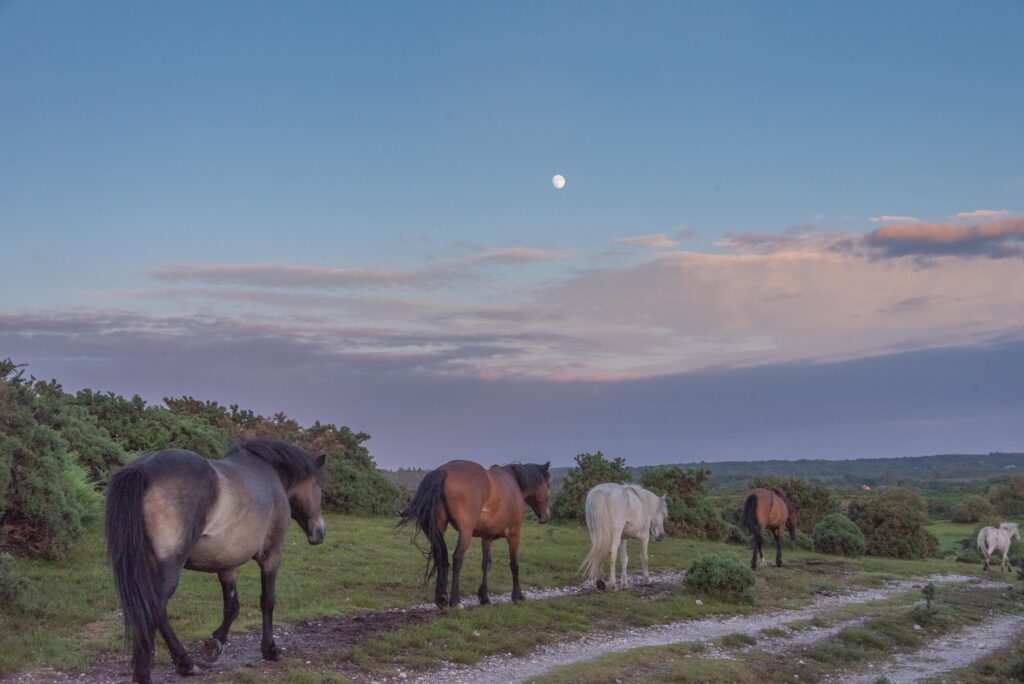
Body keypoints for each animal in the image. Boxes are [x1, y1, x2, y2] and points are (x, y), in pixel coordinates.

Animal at [105, 438, 327, 684]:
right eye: (321, 490)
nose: (320, 532)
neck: (269, 474)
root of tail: (142, 469)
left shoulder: (226, 563)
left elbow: (232, 606)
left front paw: (215, 643)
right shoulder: (271, 556)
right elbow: (267, 601)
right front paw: (270, 649)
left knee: (156, 611)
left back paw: (186, 663)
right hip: (169, 569)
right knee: (152, 612)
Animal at [399, 460, 551, 608]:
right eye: (548, 485)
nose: (546, 516)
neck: (514, 482)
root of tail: (442, 471)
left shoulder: (487, 538)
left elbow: (486, 564)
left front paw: (484, 597)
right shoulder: (514, 535)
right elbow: (514, 564)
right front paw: (517, 596)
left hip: (439, 529)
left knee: (441, 557)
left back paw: (441, 598)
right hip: (465, 532)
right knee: (457, 558)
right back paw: (454, 600)